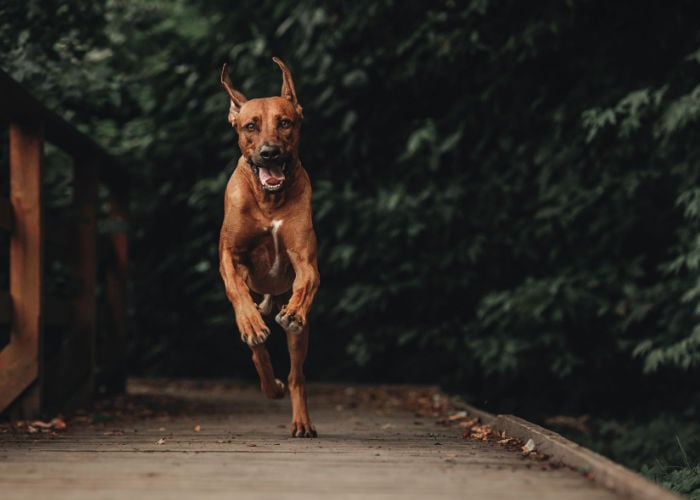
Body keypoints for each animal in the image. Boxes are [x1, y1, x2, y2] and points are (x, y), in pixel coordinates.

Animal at [219, 56, 320, 436]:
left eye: (285, 123)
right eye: (250, 126)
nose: (270, 153)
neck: (269, 200)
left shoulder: (305, 259)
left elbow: (308, 281)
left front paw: (294, 311)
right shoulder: (229, 255)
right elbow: (236, 288)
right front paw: (250, 323)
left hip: (299, 337)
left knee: (296, 375)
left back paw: (300, 419)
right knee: (258, 351)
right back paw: (267, 378)